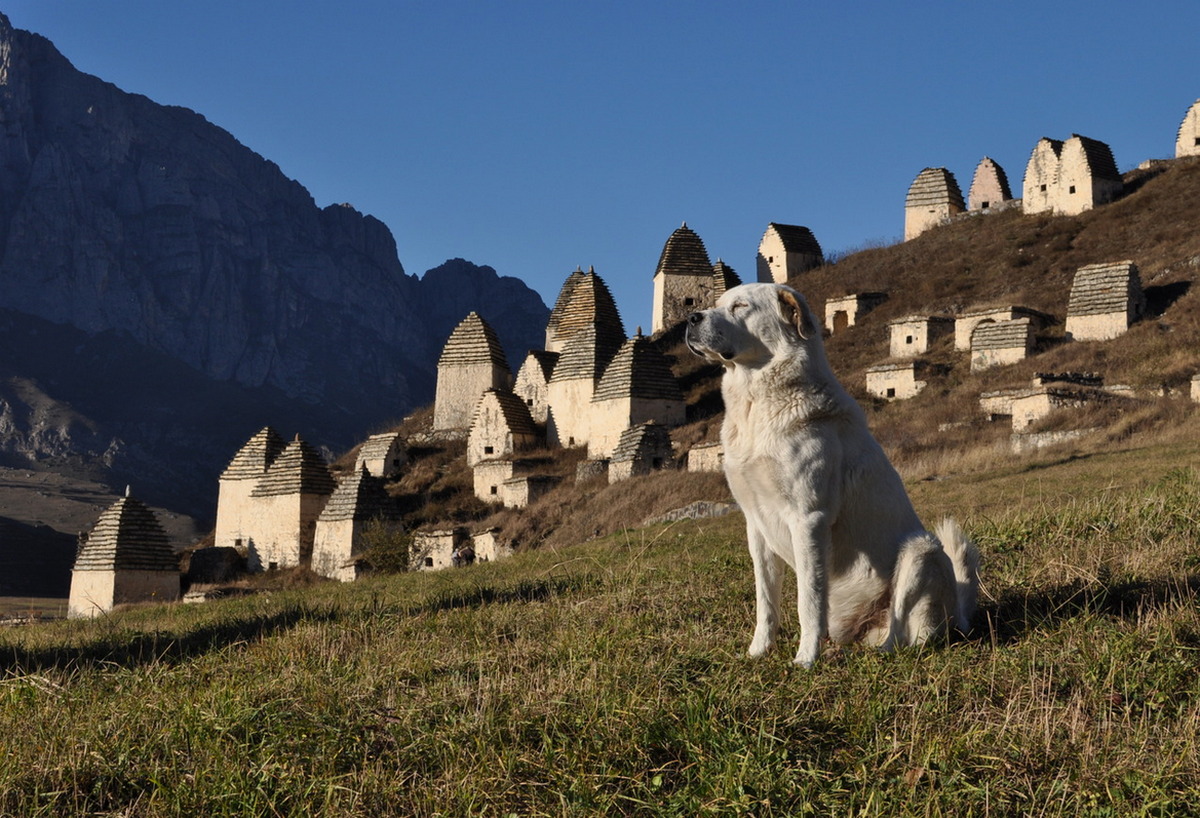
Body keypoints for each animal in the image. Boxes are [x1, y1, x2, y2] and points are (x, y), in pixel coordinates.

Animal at [691, 280, 979, 662]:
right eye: (717, 303)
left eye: (740, 306)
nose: (692, 319)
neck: (756, 404)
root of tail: (957, 618)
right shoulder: (755, 524)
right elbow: (766, 601)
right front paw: (757, 653)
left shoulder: (808, 519)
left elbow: (808, 600)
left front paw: (804, 660)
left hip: (922, 551)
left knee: (905, 633)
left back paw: (878, 653)